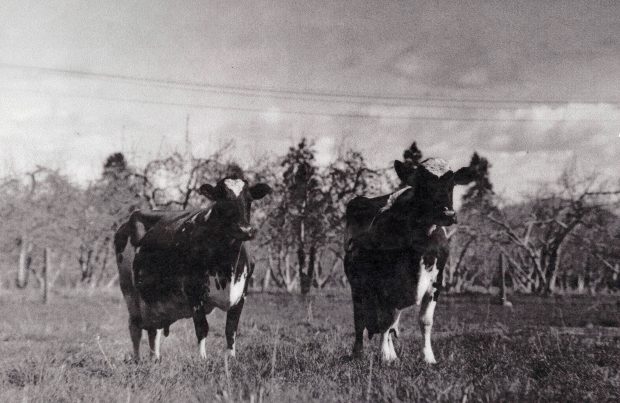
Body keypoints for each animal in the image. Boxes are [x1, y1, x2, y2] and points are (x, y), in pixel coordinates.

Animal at [115, 175, 270, 362]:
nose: (245, 229)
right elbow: (202, 328)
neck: (227, 268)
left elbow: (231, 329)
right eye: (222, 199)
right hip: (129, 291)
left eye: (249, 200)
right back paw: (138, 360)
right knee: (135, 327)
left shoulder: (241, 294)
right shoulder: (194, 292)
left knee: (153, 330)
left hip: (152, 299)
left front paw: (231, 358)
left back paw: (155, 359)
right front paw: (202, 359)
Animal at [346, 159, 472, 364]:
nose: (449, 214)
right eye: (422, 184)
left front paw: (428, 357)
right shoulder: (384, 284)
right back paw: (359, 353)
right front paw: (384, 356)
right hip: (357, 286)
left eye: (452, 183)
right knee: (360, 319)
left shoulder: (436, 281)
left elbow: (424, 321)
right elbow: (384, 321)